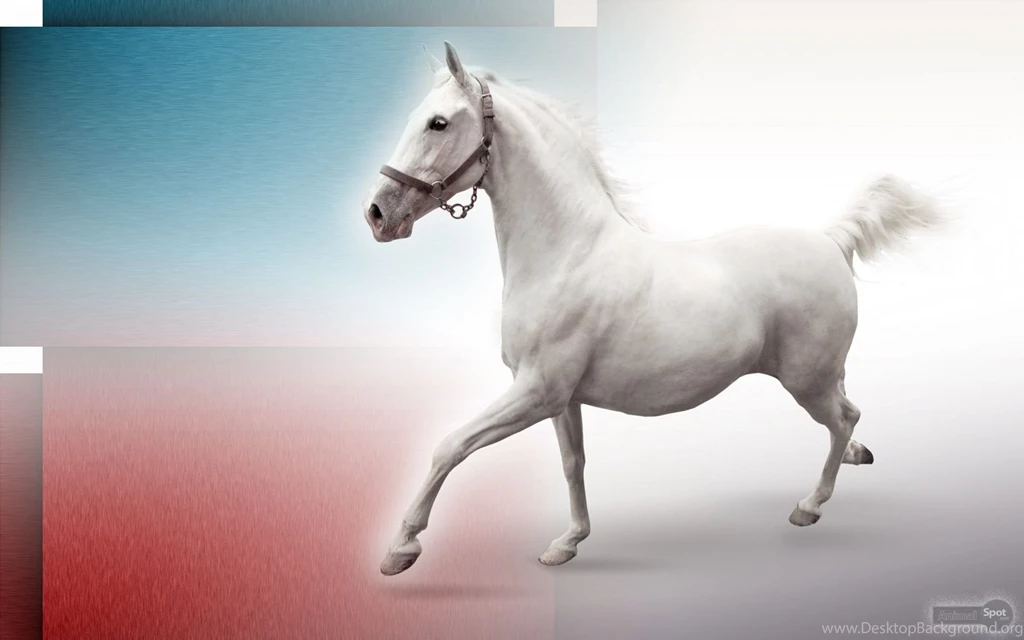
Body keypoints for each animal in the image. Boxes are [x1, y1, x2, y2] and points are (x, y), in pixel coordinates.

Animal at [363, 42, 943, 576]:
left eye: (438, 123)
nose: (378, 214)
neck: (567, 252)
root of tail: (831, 242)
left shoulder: (535, 391)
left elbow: (450, 446)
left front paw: (400, 549)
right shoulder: (561, 398)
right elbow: (573, 463)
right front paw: (568, 543)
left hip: (806, 381)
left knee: (844, 417)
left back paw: (809, 506)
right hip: (823, 373)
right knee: (848, 414)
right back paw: (856, 456)